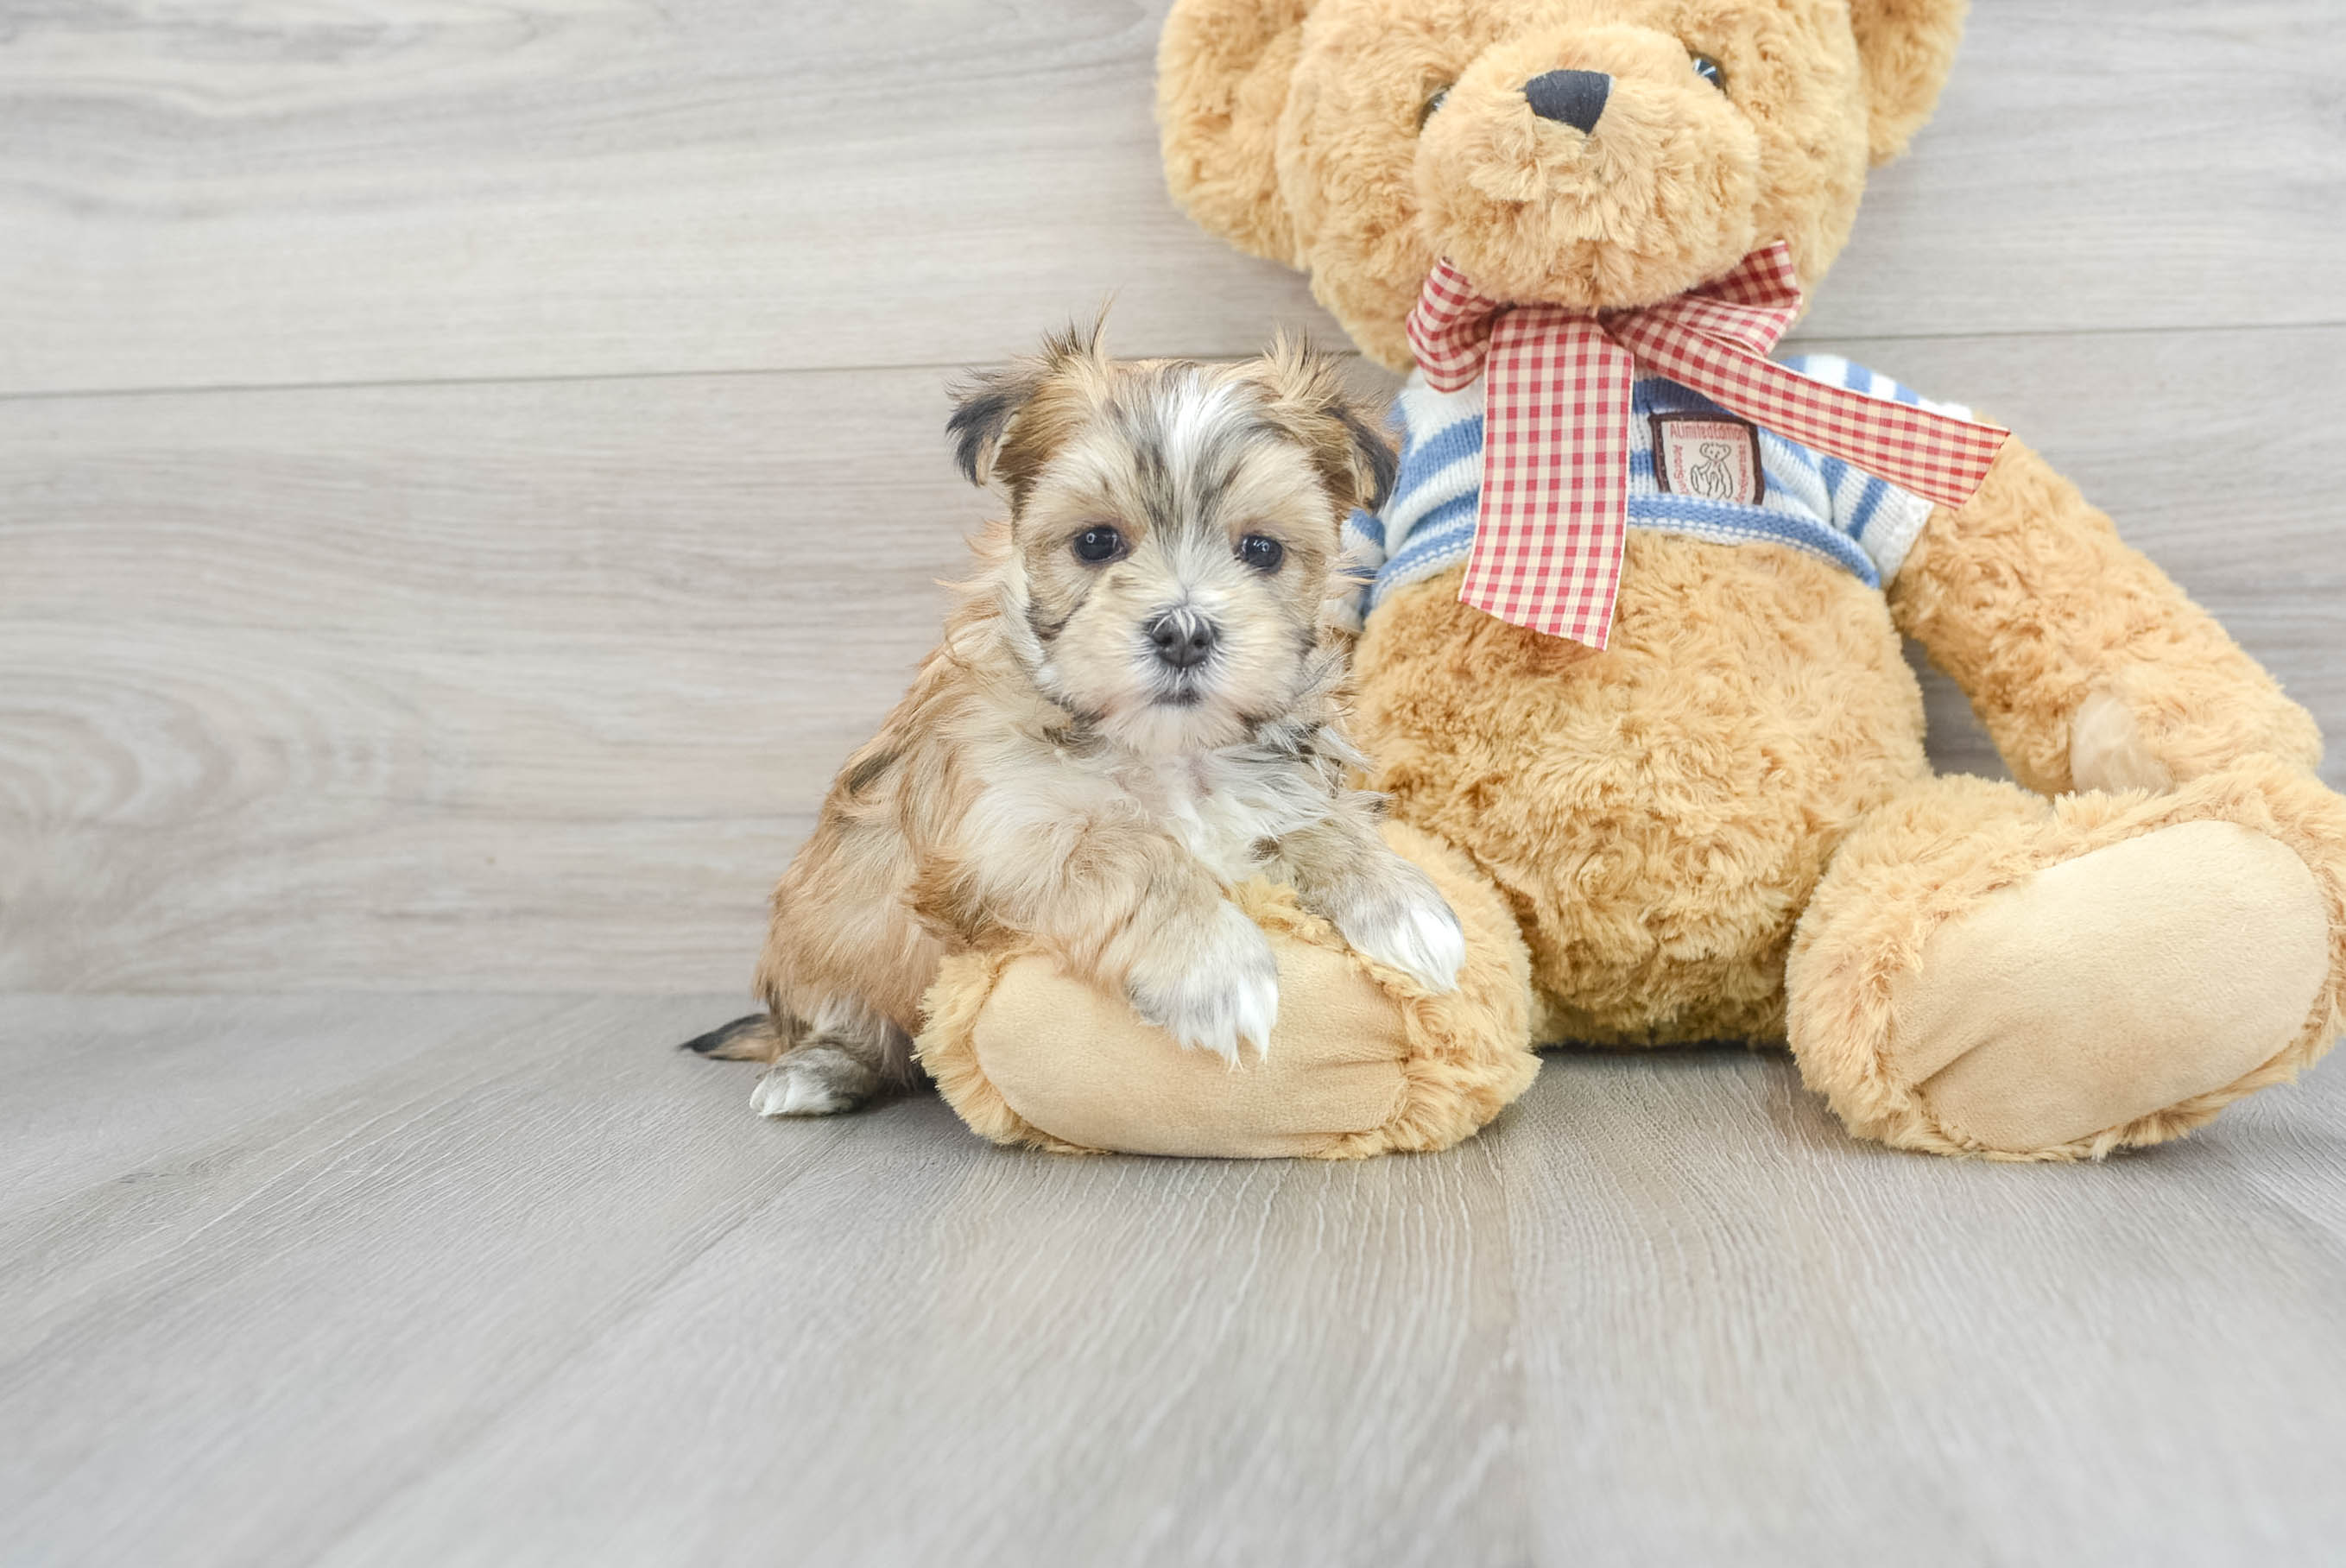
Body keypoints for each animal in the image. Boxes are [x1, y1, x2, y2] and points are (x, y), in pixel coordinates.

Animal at [680, 331, 1473, 1112]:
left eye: (1261, 550)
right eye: (1095, 542)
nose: (1184, 632)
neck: (1168, 751)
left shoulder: (1269, 794)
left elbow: (1321, 821)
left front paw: (1403, 905)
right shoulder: (994, 840)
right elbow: (1126, 852)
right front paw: (1215, 968)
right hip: (829, 953)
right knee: (851, 1030)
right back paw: (814, 1072)